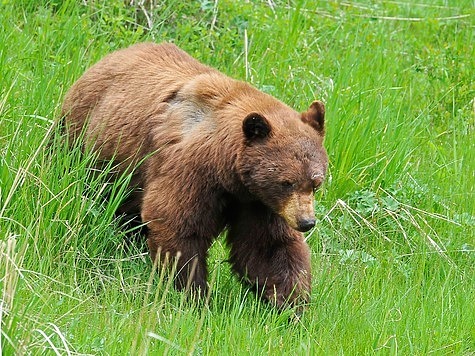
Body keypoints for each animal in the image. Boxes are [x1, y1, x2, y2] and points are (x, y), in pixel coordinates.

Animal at [61, 41, 330, 308]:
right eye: (286, 182)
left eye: (316, 183)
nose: (307, 222)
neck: (228, 172)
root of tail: (112, 55)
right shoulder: (191, 171)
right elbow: (177, 225)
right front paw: (194, 294)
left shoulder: (259, 202)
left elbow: (267, 246)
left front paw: (289, 303)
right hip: (86, 142)